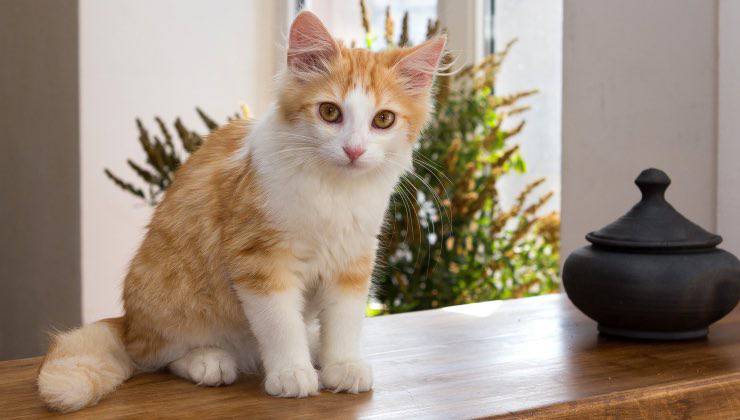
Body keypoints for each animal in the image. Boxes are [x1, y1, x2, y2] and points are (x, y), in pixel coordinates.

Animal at [37, 11, 446, 412]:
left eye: (383, 120)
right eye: (330, 112)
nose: (354, 150)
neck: (333, 192)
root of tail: (127, 323)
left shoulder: (352, 260)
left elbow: (344, 321)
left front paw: (341, 364)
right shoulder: (259, 261)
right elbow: (281, 324)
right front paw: (292, 372)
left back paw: (314, 346)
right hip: (172, 299)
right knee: (155, 356)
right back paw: (209, 361)